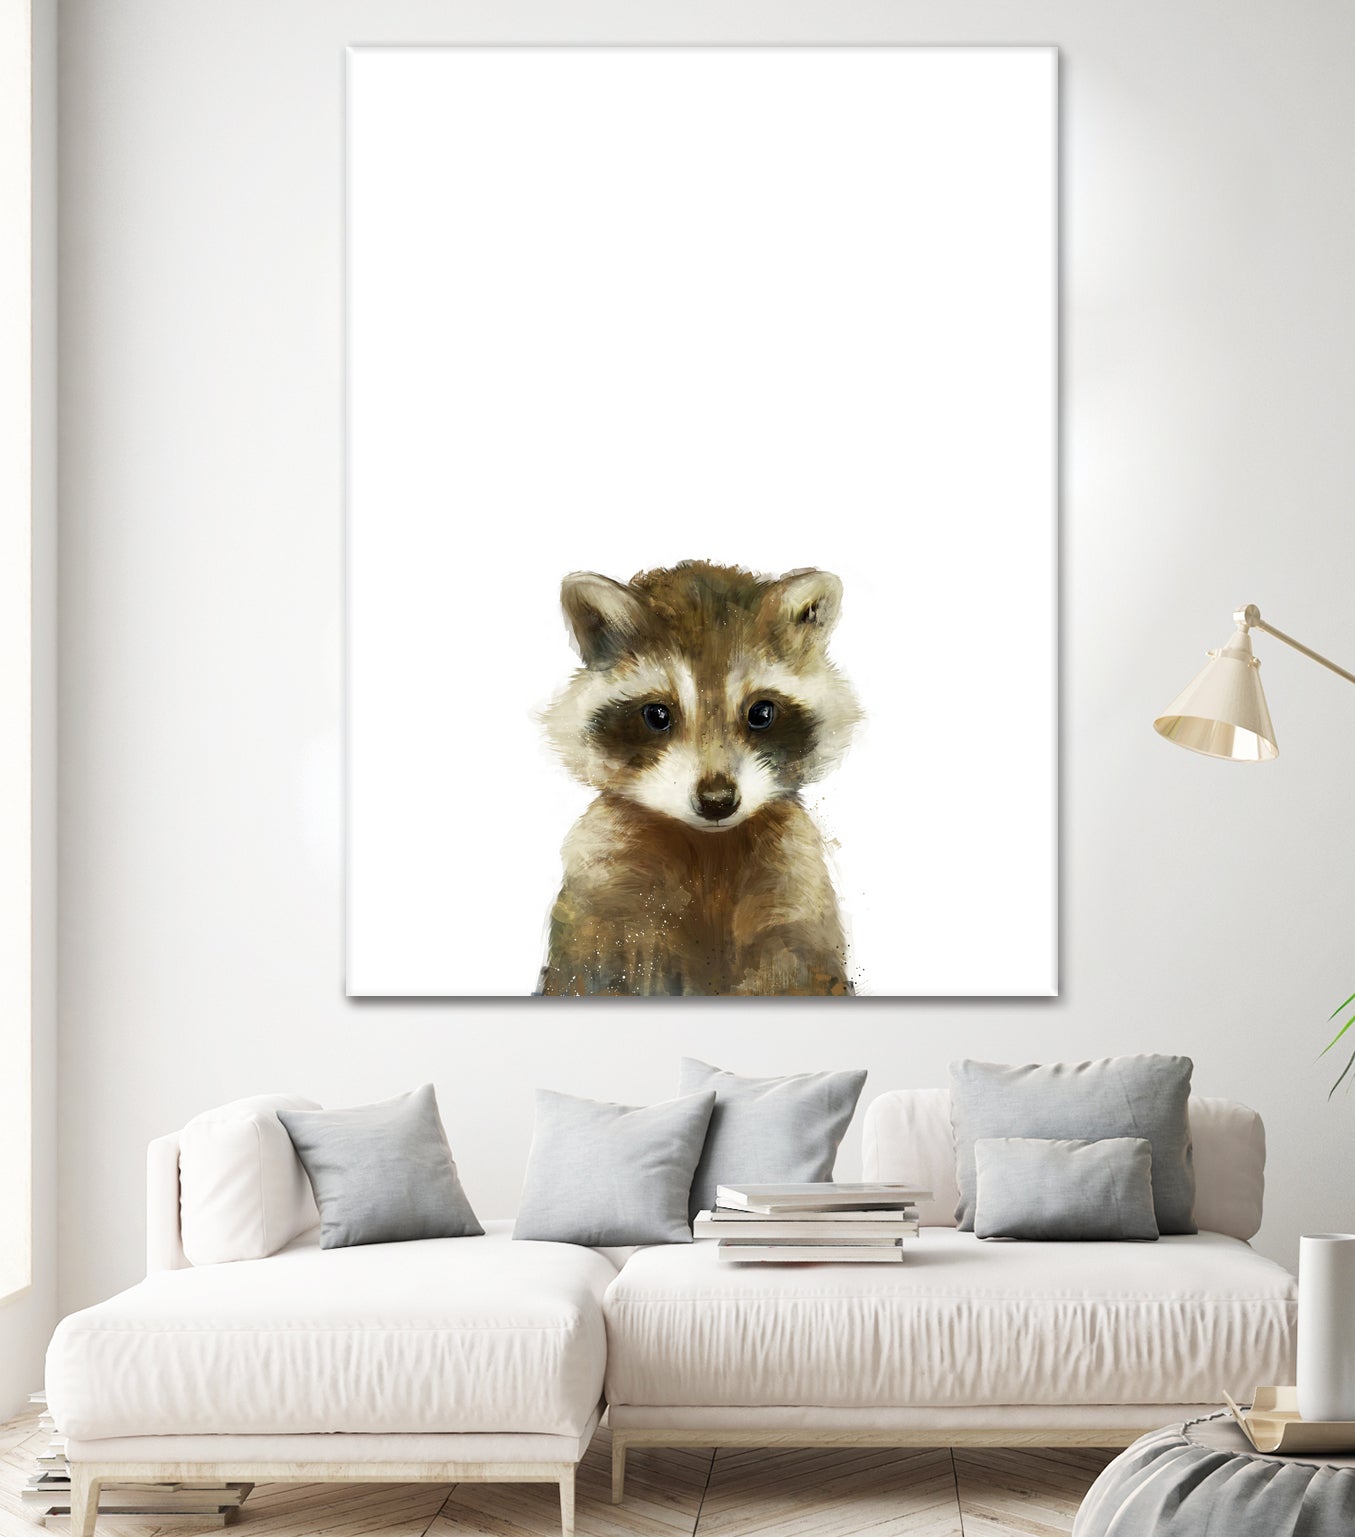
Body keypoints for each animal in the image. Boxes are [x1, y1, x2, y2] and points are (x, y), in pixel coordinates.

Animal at [537, 560, 861, 996]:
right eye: (657, 715)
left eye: (761, 713)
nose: (717, 800)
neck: (709, 847)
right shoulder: (603, 889)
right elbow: (592, 972)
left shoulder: (796, 886)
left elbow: (800, 970)